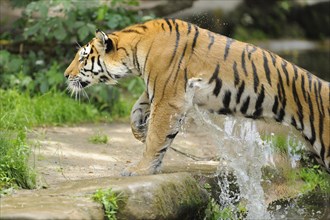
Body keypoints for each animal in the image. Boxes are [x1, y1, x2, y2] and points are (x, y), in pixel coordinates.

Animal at [64, 18, 330, 175]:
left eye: (82, 58)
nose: (66, 75)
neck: (133, 51)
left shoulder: (168, 97)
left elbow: (157, 137)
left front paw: (140, 169)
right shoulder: (159, 89)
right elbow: (137, 108)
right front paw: (139, 130)